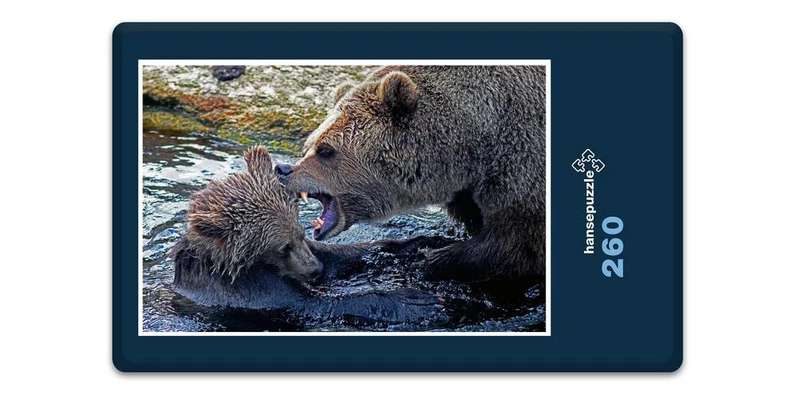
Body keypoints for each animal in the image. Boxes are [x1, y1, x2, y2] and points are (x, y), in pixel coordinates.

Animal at [172, 145, 445, 324]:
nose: (315, 270)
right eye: (281, 247)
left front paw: (419, 242)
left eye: (301, 234)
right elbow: (317, 303)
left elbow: (341, 255)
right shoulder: (250, 291)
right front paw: (417, 301)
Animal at [275, 66, 546, 281]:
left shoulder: (520, 160)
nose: (282, 169)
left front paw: (432, 259)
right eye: (308, 145)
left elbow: (518, 243)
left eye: (325, 150)